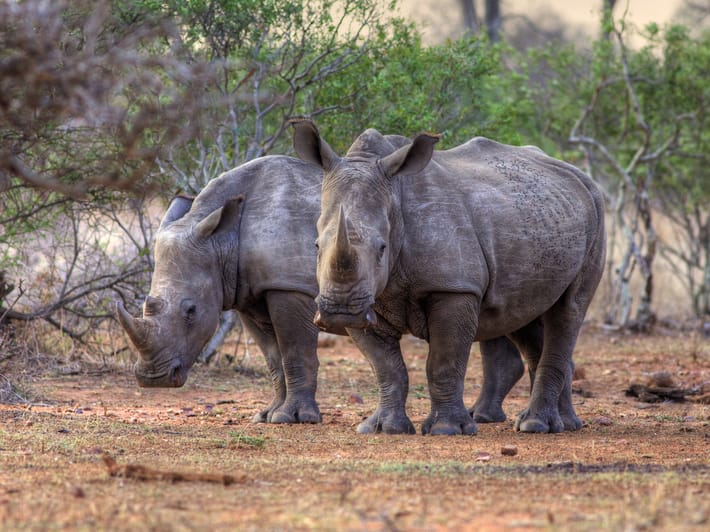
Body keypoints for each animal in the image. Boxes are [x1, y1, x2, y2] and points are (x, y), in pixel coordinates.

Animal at [292, 119, 606, 435]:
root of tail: (581, 177)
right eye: (316, 245)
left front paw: (447, 429)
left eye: (382, 248)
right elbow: (386, 367)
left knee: (569, 310)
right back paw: (563, 423)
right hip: (539, 221)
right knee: (523, 312)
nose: (341, 311)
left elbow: (443, 361)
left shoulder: (454, 288)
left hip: (597, 214)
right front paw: (384, 428)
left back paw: (536, 425)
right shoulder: (370, 299)